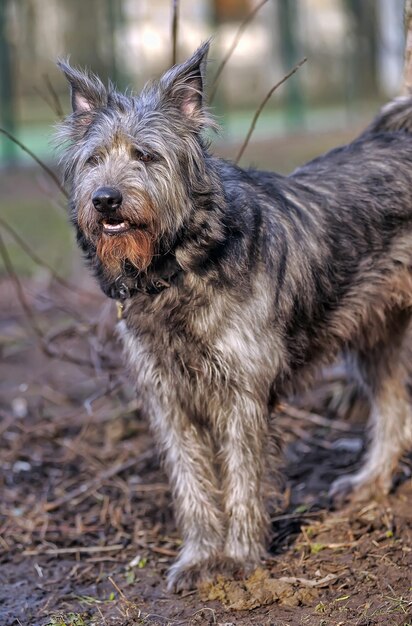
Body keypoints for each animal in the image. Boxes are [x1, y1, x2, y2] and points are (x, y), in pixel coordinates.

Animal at [56, 44, 412, 588]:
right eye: (94, 159)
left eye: (146, 155)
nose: (105, 200)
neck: (178, 269)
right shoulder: (169, 400)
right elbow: (192, 484)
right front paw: (201, 556)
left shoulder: (242, 391)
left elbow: (243, 478)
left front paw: (241, 557)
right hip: (375, 335)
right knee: (394, 409)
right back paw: (369, 483)